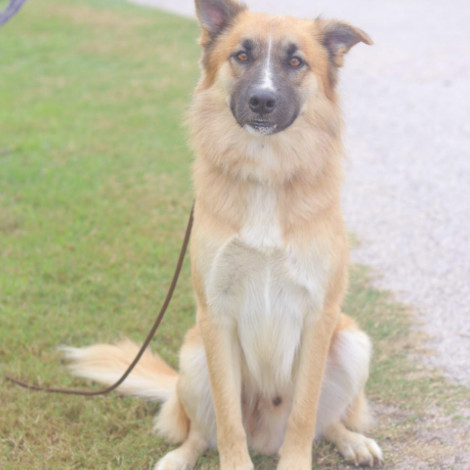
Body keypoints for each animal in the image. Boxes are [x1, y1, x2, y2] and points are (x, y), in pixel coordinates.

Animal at [62, 0, 384, 470]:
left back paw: (352, 441)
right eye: (242, 55)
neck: (266, 173)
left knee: (326, 423)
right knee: (200, 432)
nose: (262, 101)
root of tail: (267, 437)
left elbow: (305, 416)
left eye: (295, 62)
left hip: (352, 342)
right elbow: (229, 419)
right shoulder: (216, 316)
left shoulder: (318, 316)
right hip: (194, 354)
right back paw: (179, 457)